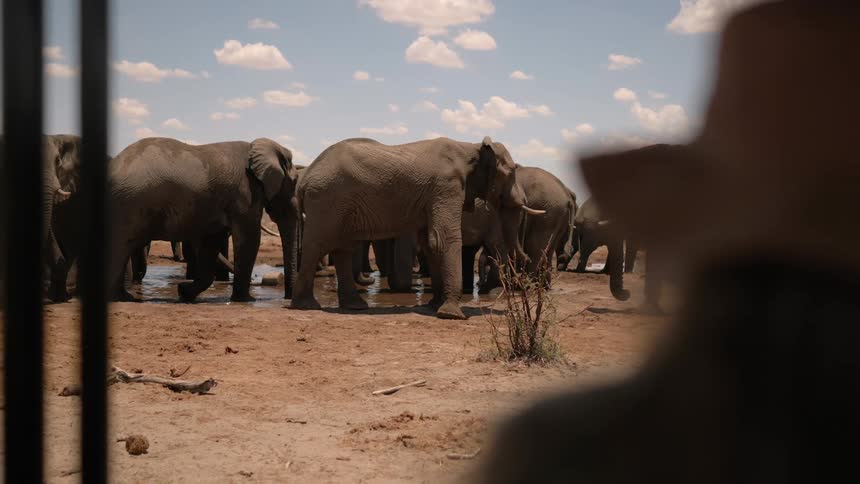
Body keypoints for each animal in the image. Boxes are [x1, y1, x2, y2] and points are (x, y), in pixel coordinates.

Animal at [108, 137, 299, 303]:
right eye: (295, 181)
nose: (286, 298)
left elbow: (211, 242)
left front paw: (183, 292)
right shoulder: (246, 194)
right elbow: (249, 239)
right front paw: (246, 300)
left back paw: (123, 297)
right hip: (128, 204)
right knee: (120, 247)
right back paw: (123, 298)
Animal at [290, 136, 542, 319]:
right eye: (511, 172)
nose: (527, 259)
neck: (471, 147)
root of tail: (304, 180)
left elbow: (430, 243)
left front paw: (434, 306)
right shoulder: (446, 186)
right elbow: (443, 239)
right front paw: (452, 314)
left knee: (342, 248)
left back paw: (354, 306)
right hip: (326, 199)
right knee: (317, 245)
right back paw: (306, 306)